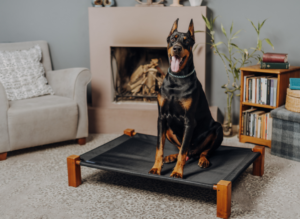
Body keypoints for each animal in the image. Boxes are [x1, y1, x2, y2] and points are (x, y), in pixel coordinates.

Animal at [149, 18, 223, 179]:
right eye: (172, 39)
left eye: (186, 41)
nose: (177, 48)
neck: (177, 80)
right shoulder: (161, 118)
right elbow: (159, 147)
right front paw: (156, 167)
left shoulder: (189, 121)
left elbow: (183, 151)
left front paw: (177, 172)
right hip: (169, 129)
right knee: (182, 149)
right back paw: (171, 157)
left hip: (217, 129)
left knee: (202, 151)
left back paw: (203, 160)